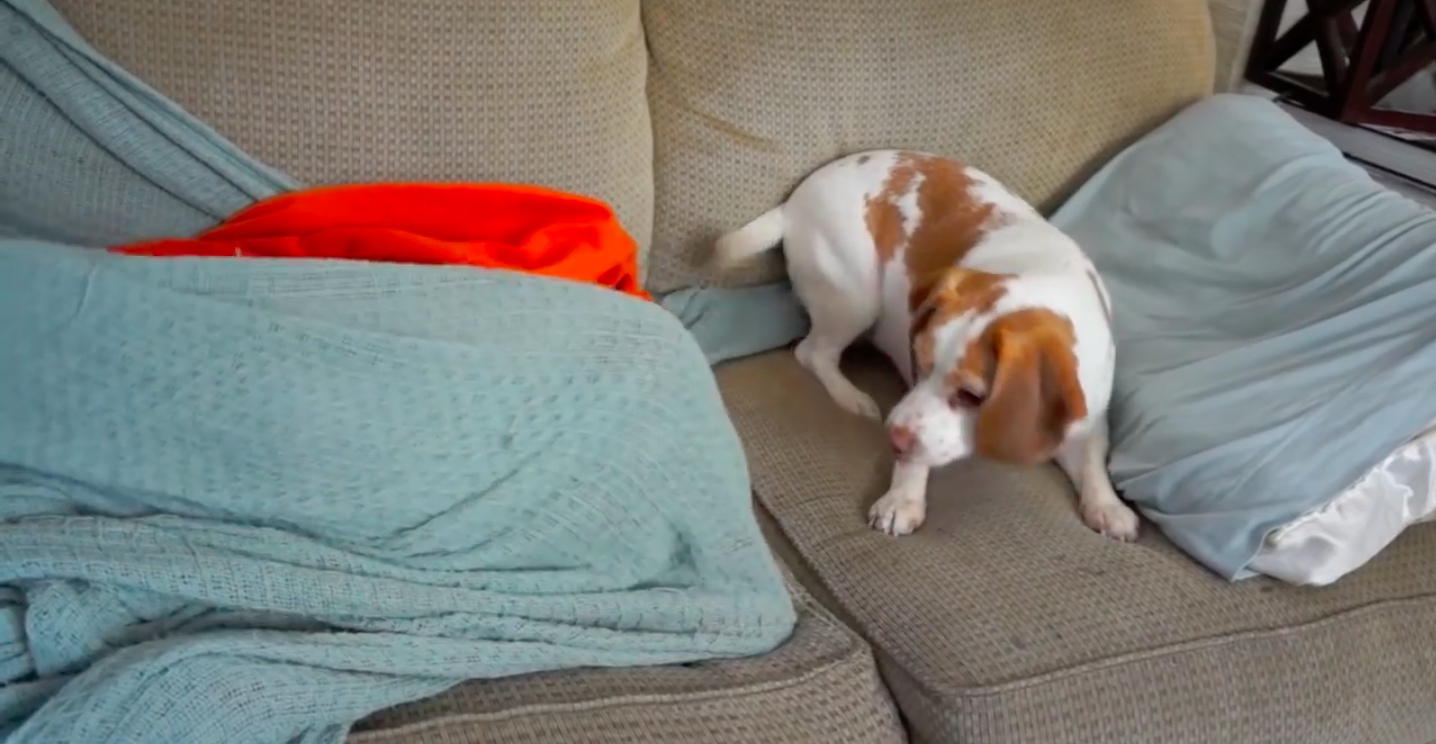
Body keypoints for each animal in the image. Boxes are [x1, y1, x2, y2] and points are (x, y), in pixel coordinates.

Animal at [712, 150, 1137, 542]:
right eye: (919, 361)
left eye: (971, 396)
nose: (892, 438)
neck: (1041, 279)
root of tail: (794, 200)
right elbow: (914, 458)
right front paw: (903, 498)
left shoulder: (1087, 415)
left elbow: (1092, 460)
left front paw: (1107, 504)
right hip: (856, 294)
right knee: (813, 352)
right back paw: (852, 397)